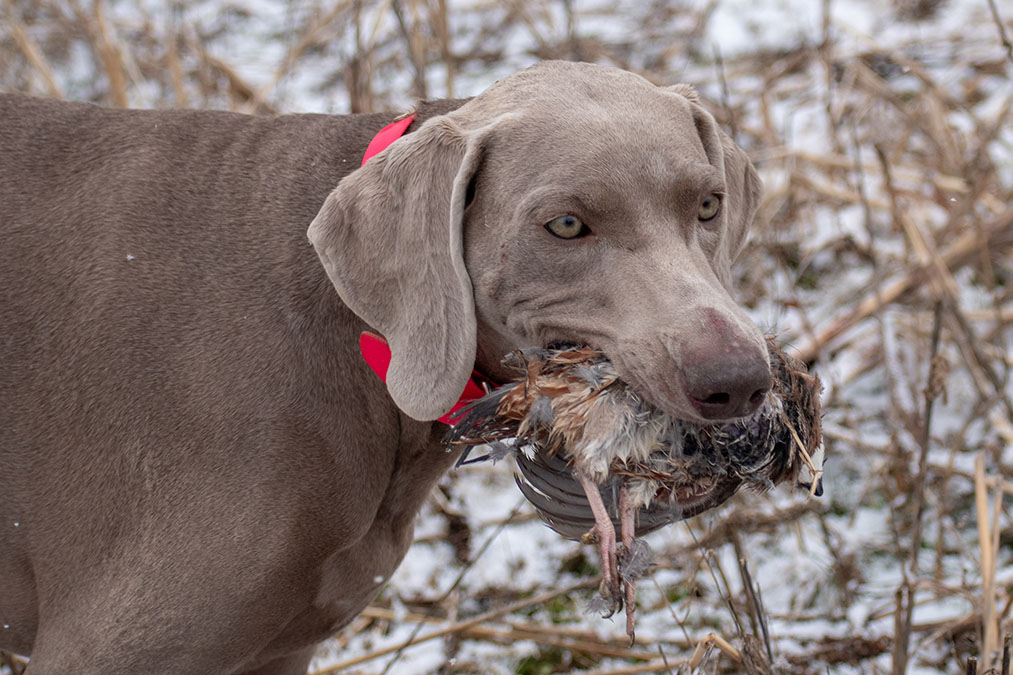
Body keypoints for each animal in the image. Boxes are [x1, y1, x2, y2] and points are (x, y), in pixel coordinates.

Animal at [0, 61, 765, 674]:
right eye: (567, 225)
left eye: (707, 204)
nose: (739, 382)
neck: (360, 344)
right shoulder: (106, 647)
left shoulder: (279, 651)